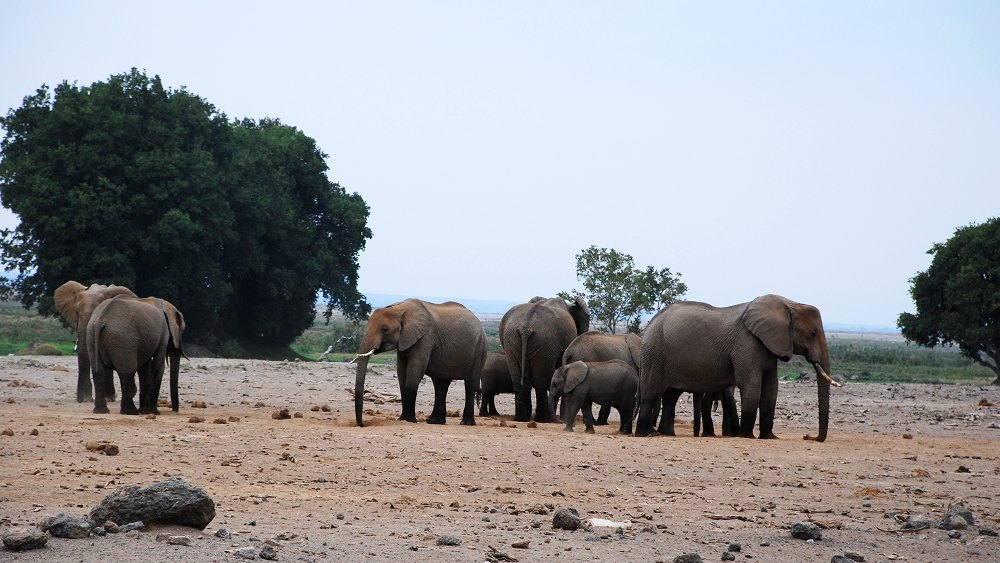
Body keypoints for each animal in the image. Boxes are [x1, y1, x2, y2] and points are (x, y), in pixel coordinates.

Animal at [354, 300, 486, 428]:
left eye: (385, 329)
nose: (362, 425)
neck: (399, 308)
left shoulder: (425, 337)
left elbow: (415, 369)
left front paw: (407, 420)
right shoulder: (405, 340)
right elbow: (401, 371)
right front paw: (403, 419)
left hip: (479, 349)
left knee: (470, 384)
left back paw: (466, 423)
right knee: (440, 384)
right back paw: (434, 422)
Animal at [498, 296, 584, 424]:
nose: (560, 421)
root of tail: (526, 328)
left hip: (513, 342)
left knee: (521, 381)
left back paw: (521, 419)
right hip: (545, 344)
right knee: (541, 383)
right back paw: (542, 419)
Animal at [636, 296, 840, 440]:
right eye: (812, 333)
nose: (808, 436)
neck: (790, 303)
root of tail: (651, 322)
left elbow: (771, 387)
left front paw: (769, 437)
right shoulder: (746, 344)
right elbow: (752, 384)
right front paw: (747, 436)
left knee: (671, 395)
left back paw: (666, 433)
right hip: (655, 351)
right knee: (651, 392)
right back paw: (647, 434)